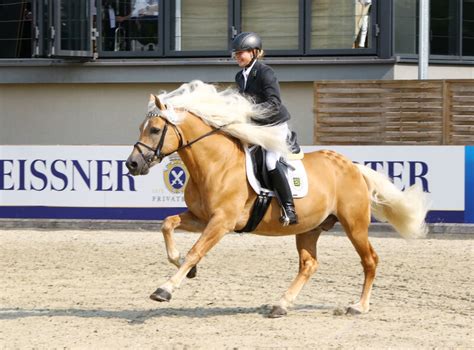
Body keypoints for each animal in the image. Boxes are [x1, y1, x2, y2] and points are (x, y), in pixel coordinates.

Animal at [127, 80, 430, 318]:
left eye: (155, 130)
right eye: (141, 127)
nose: (132, 164)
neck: (215, 163)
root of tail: (353, 166)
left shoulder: (222, 222)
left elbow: (195, 251)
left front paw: (164, 289)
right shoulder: (202, 218)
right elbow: (168, 224)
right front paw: (185, 268)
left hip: (354, 225)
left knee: (370, 260)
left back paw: (359, 306)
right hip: (309, 228)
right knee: (309, 264)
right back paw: (281, 304)